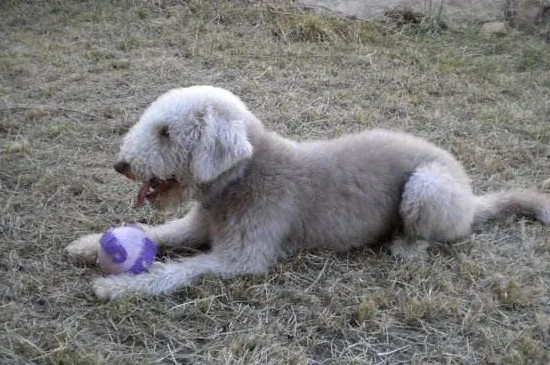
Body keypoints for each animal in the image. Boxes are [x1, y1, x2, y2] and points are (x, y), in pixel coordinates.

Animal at [66, 85, 550, 298]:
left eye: (166, 132)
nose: (121, 165)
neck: (241, 179)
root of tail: (470, 196)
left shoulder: (242, 257)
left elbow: (179, 271)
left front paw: (117, 287)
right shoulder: (197, 225)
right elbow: (159, 235)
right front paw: (89, 245)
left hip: (427, 185)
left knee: (429, 234)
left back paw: (405, 246)